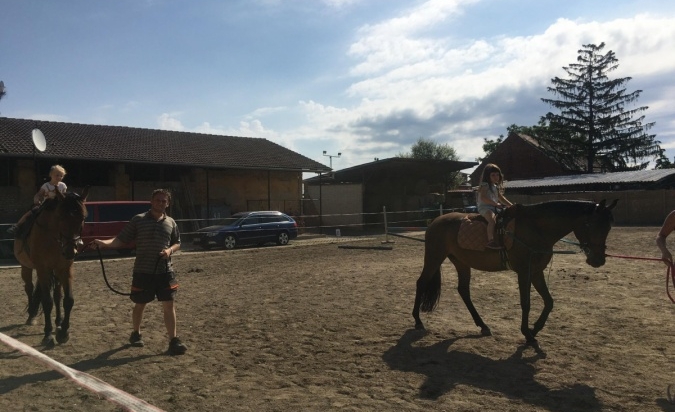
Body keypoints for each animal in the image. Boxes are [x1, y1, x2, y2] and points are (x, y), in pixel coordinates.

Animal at [13, 188, 88, 346]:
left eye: (83, 218)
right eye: (60, 216)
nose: (70, 250)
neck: (53, 238)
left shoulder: (65, 269)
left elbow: (68, 300)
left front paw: (63, 332)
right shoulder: (42, 269)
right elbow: (47, 301)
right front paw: (47, 334)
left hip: (56, 272)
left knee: (57, 295)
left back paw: (58, 321)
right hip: (26, 267)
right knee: (29, 288)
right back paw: (31, 316)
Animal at [412, 198, 616, 346]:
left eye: (608, 227)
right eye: (590, 225)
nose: (598, 260)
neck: (536, 229)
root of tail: (435, 221)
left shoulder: (536, 272)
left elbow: (549, 302)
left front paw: (534, 329)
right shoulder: (524, 272)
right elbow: (526, 303)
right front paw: (528, 334)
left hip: (461, 263)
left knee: (463, 291)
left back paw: (482, 325)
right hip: (434, 258)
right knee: (421, 283)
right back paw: (418, 321)